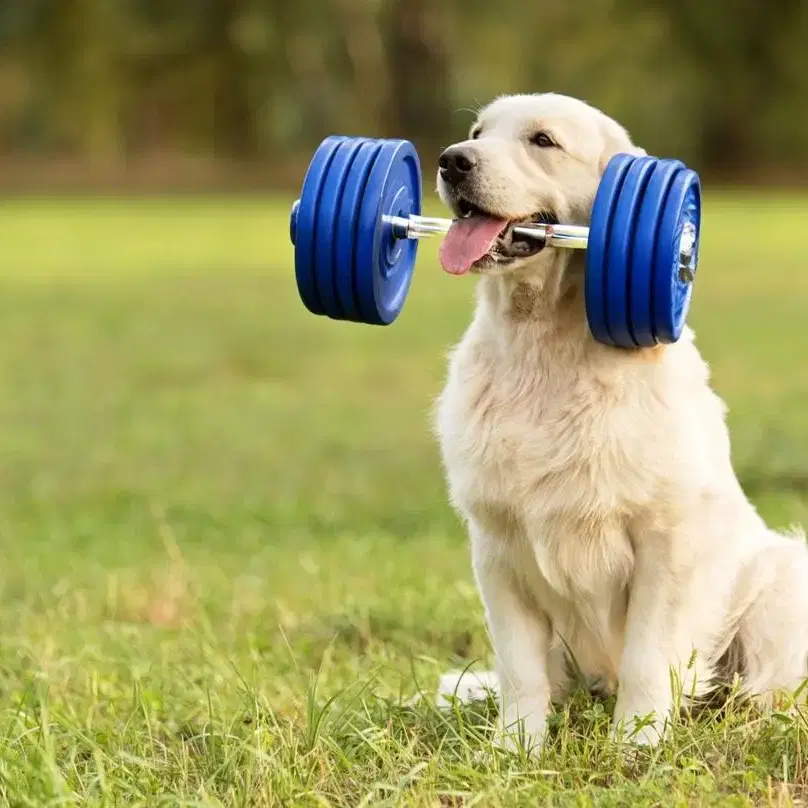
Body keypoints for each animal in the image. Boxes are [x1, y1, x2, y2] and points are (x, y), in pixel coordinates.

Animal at [432, 94, 804, 752]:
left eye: (543, 140)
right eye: (477, 130)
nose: (453, 161)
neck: (545, 346)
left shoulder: (666, 542)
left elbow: (647, 657)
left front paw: (637, 743)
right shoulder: (498, 546)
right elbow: (519, 668)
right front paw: (516, 748)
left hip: (784, 584)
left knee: (763, 690)